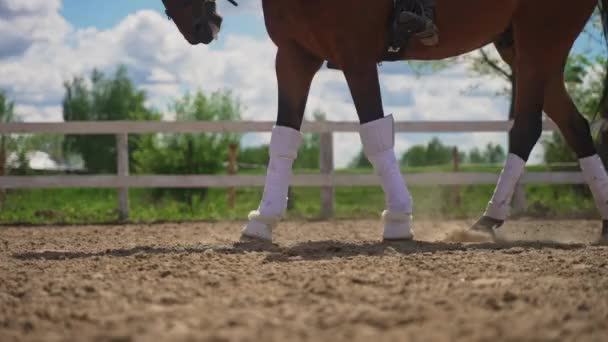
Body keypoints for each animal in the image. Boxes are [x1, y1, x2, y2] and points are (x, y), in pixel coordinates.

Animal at [162, 0, 608, 242]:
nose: (197, 27)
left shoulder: (355, 55)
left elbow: (375, 132)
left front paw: (398, 218)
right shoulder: (293, 56)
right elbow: (283, 138)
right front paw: (262, 220)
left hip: (539, 40)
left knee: (528, 128)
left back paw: (485, 222)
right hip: (524, 47)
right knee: (575, 127)